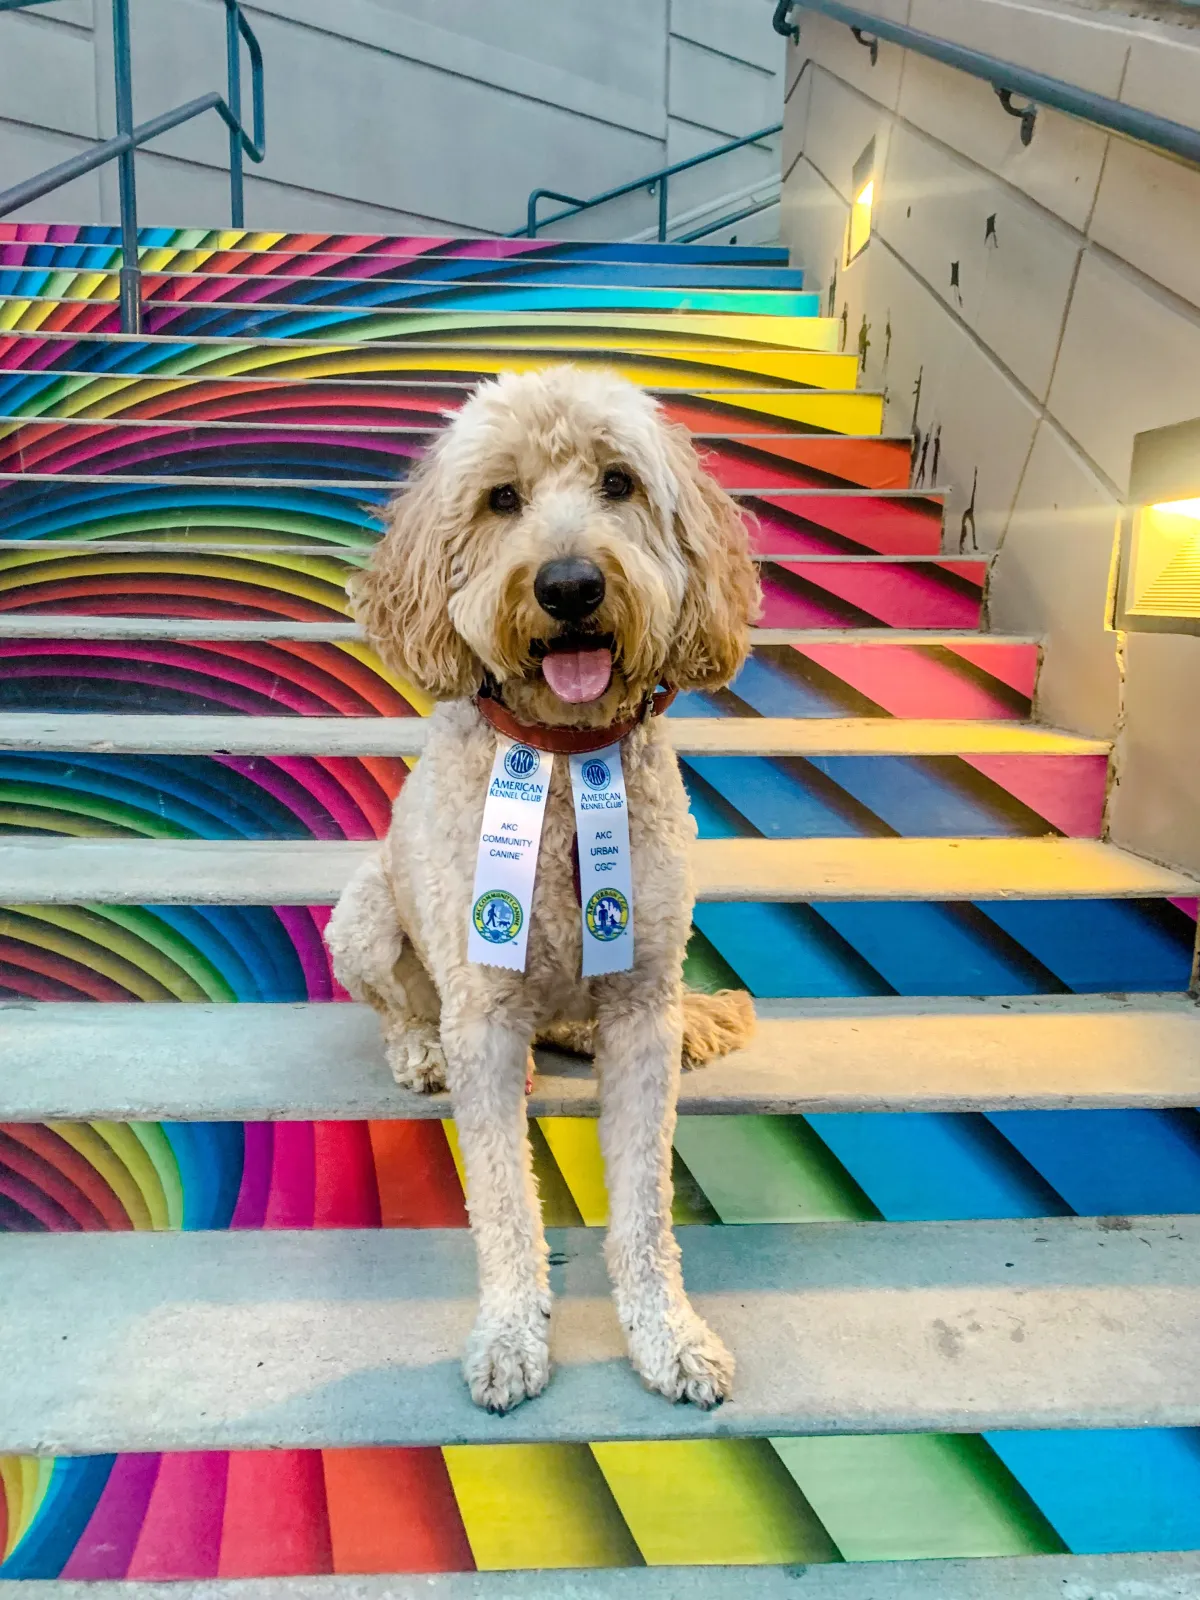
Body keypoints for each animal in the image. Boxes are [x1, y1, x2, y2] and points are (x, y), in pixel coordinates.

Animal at [321, 363, 761, 1414]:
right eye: (501, 499)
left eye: (618, 482)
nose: (569, 586)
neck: (563, 757)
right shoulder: (481, 1012)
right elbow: (503, 1200)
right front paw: (511, 1334)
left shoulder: (641, 1000)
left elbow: (643, 1203)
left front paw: (668, 1336)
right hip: (364, 918)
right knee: (397, 1007)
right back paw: (417, 1051)